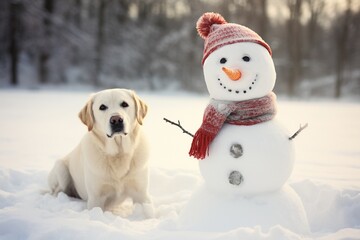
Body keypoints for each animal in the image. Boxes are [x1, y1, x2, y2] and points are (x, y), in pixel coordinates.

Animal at [47, 89, 152, 217]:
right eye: (102, 107)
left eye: (124, 104)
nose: (116, 120)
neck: (118, 154)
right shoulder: (96, 198)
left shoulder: (142, 194)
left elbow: (148, 212)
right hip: (60, 168)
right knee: (57, 191)